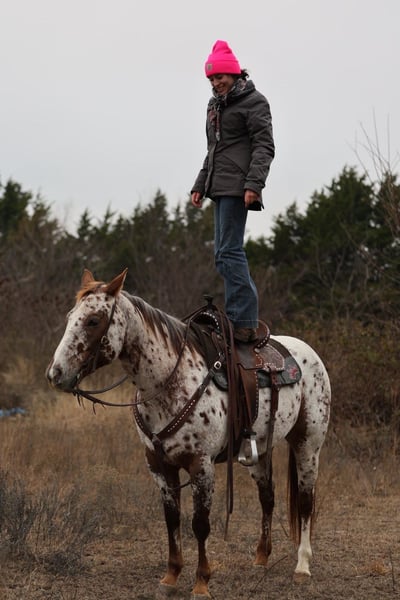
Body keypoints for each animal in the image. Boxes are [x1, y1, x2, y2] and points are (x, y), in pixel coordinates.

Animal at [46, 269, 331, 598]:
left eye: (93, 320)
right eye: (71, 317)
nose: (56, 373)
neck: (167, 382)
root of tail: (307, 352)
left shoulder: (201, 465)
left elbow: (200, 524)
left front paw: (201, 582)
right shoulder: (158, 464)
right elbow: (172, 520)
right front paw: (170, 577)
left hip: (308, 444)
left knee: (306, 500)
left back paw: (302, 566)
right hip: (260, 450)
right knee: (267, 497)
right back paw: (261, 557)